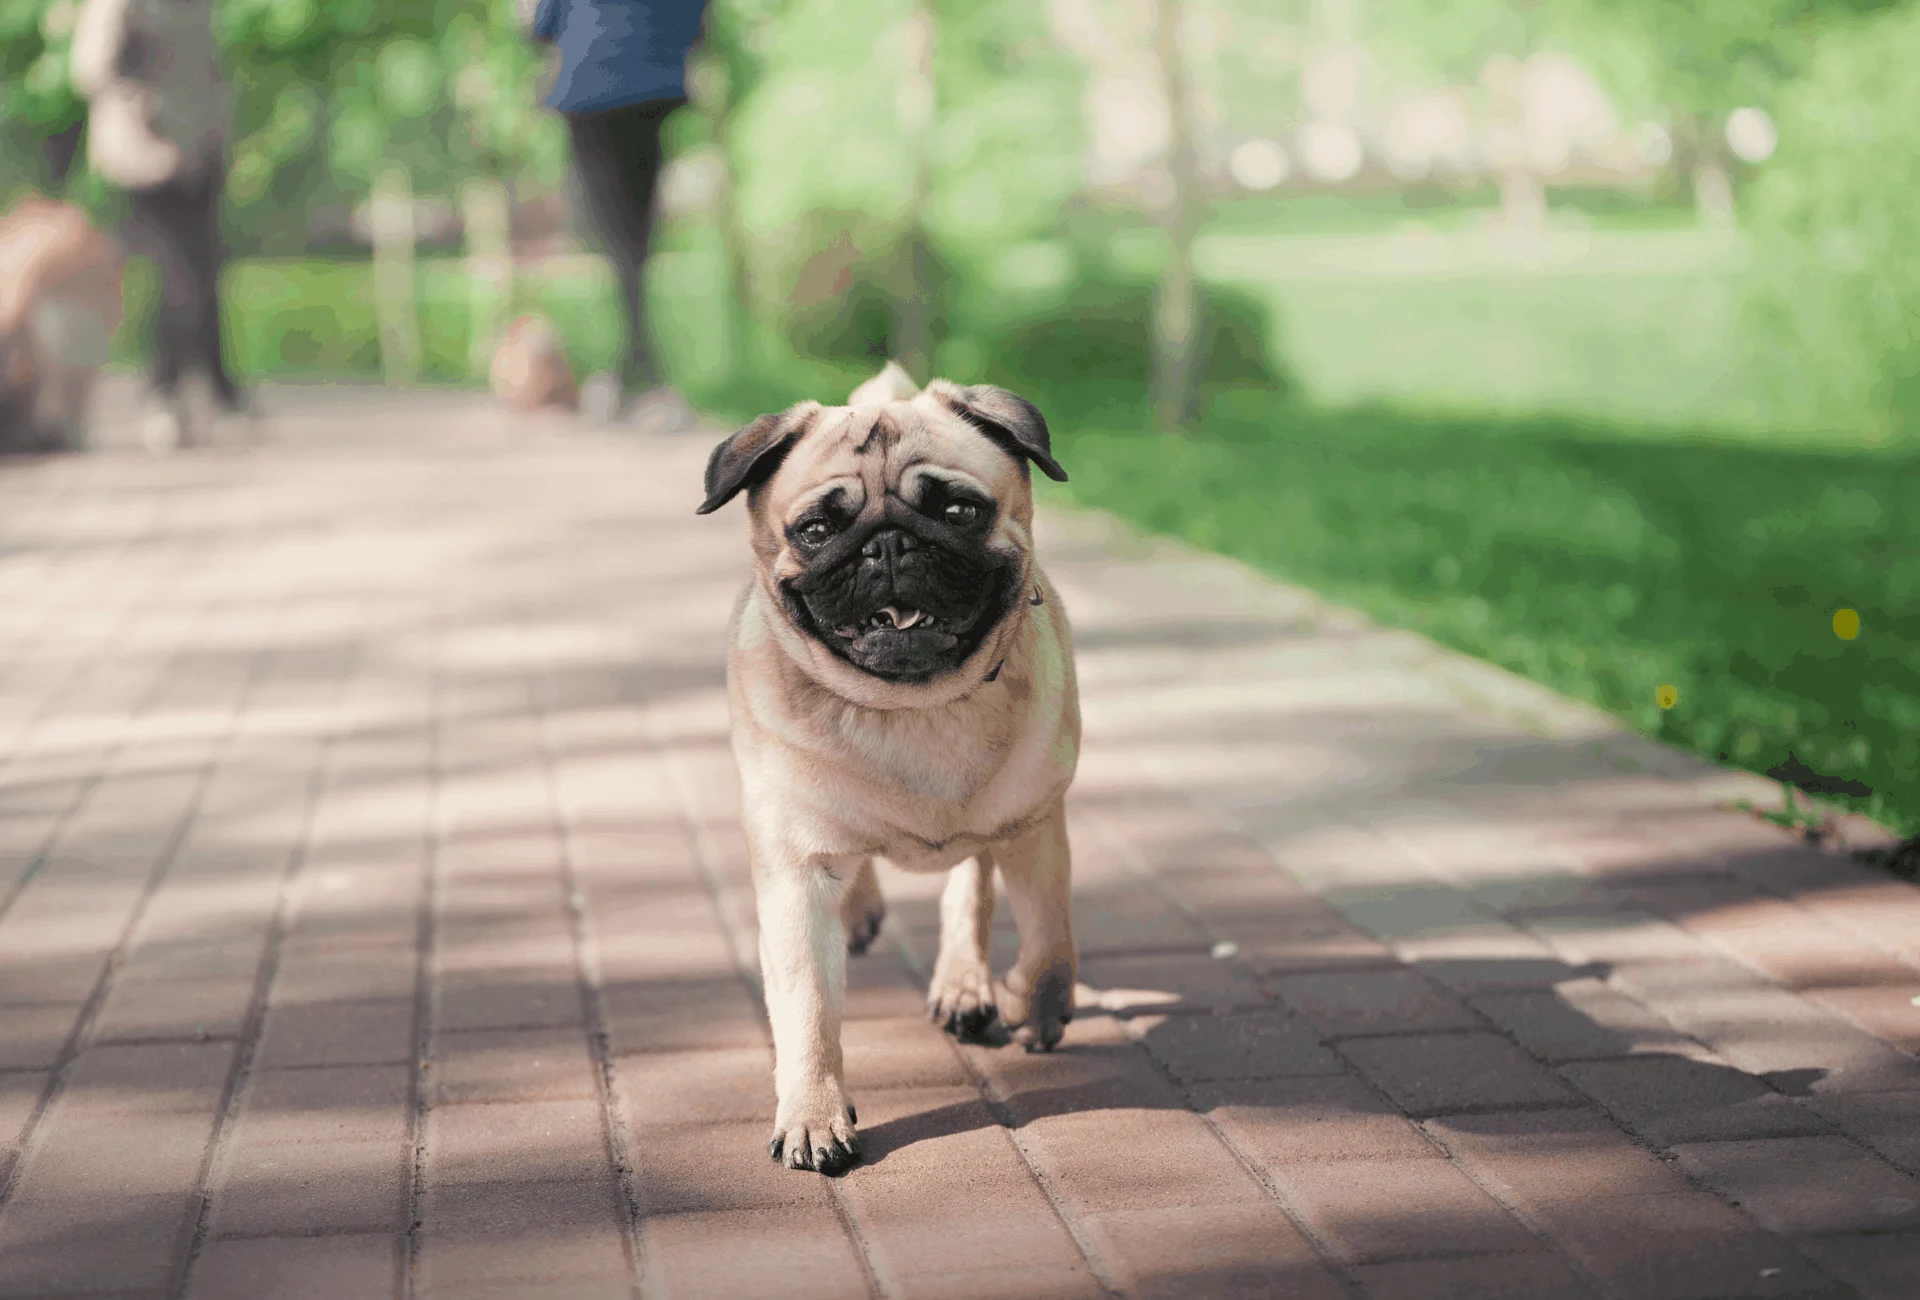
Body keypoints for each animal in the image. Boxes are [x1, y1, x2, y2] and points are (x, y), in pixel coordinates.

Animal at [702, 359, 1082, 1167]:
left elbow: (1047, 937)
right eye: (816, 530)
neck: (912, 708)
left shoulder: (1035, 828)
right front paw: (812, 1115)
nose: (887, 545)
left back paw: (965, 984)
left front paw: (1035, 1007)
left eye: (961, 511)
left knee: (971, 888)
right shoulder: (796, 866)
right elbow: (807, 1007)